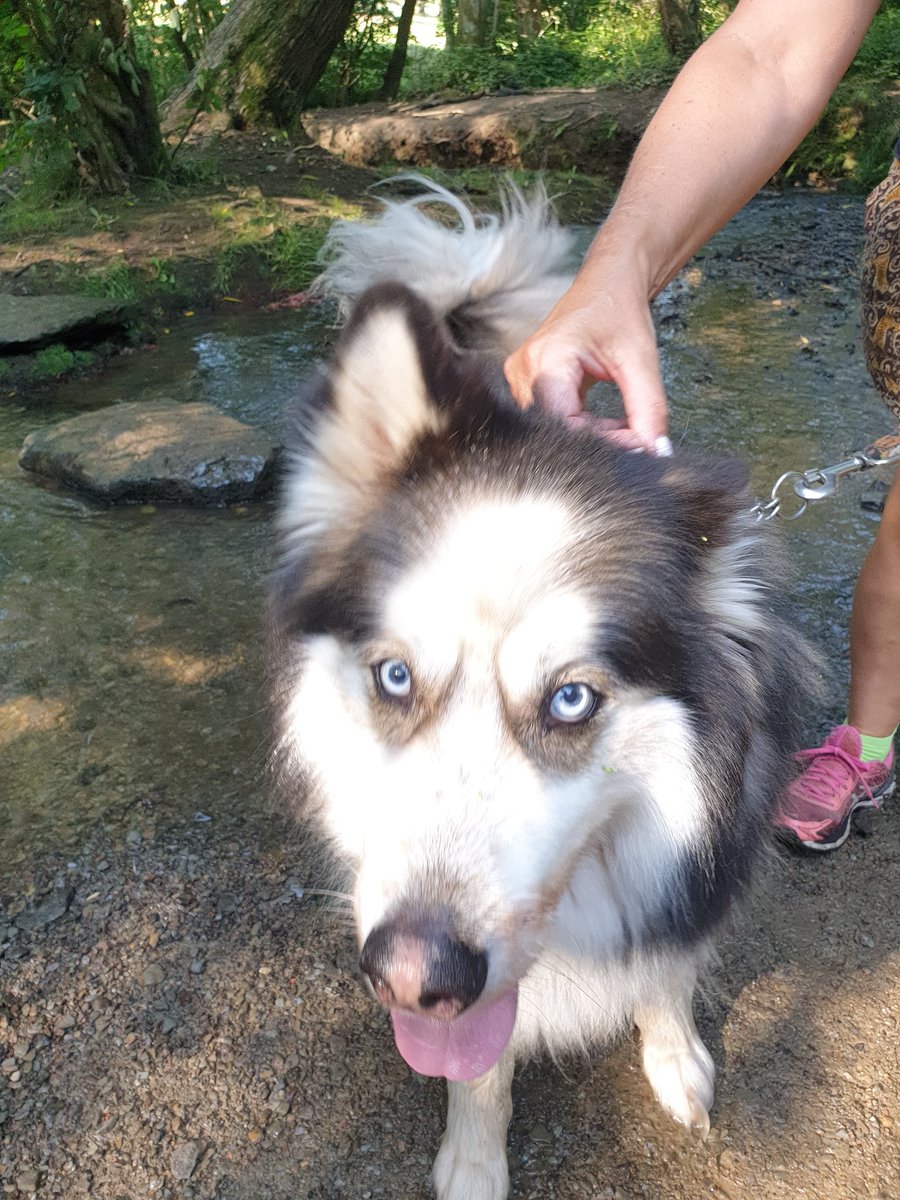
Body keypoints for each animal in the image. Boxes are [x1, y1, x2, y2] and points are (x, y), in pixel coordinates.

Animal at [270, 180, 816, 1200]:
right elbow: (480, 1069)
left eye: (571, 701)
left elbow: (666, 971)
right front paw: (474, 1158)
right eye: (394, 676)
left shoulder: (700, 865)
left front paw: (674, 1055)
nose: (410, 974)